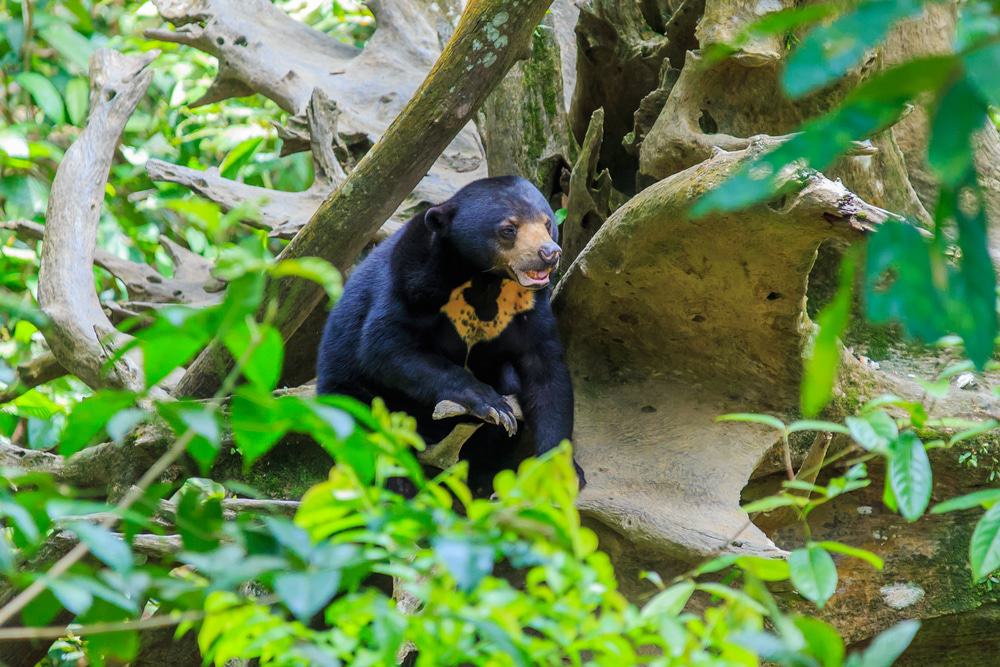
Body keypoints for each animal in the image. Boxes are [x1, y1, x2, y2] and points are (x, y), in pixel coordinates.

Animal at [316, 176, 585, 492]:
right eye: (509, 229)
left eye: (546, 223)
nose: (549, 254)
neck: (485, 280)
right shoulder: (412, 281)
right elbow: (387, 346)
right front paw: (492, 405)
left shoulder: (529, 307)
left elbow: (546, 374)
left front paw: (560, 472)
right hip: (349, 394)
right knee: (368, 431)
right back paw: (400, 482)